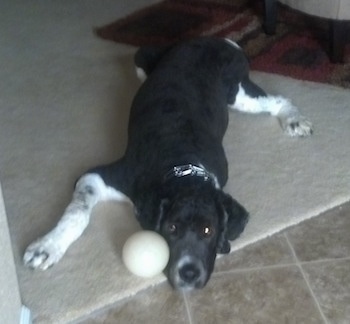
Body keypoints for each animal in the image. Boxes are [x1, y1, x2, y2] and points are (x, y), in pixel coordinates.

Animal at [23, 36, 314, 290]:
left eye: (208, 230)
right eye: (171, 228)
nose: (189, 274)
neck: (182, 166)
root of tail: (218, 40)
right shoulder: (99, 175)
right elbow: (76, 213)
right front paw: (46, 247)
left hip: (239, 94)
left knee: (277, 100)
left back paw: (294, 119)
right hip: (146, 57)